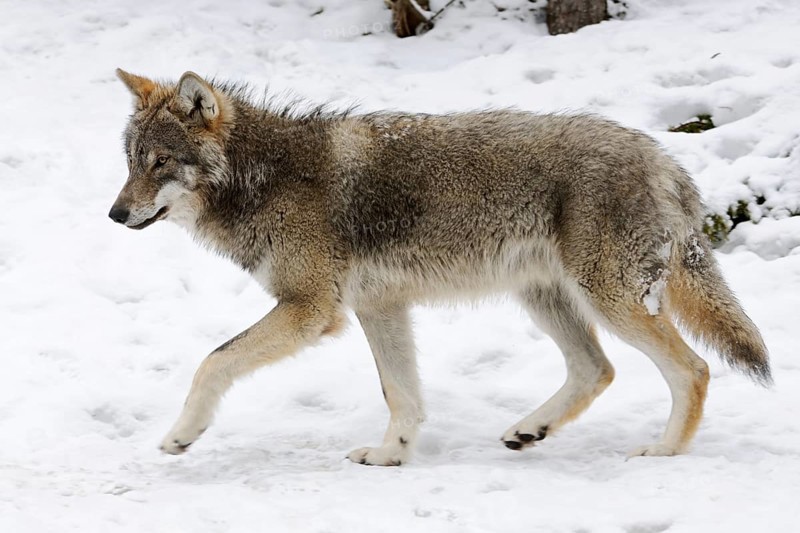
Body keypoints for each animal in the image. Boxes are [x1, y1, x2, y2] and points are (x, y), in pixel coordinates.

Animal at [109, 69, 771, 466]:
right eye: (131, 161)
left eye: (162, 162)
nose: (115, 214)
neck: (265, 177)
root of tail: (666, 160)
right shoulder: (380, 307)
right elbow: (401, 395)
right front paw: (391, 457)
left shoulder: (311, 310)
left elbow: (211, 363)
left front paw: (182, 434)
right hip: (546, 298)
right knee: (597, 370)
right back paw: (529, 431)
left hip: (609, 300)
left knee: (694, 369)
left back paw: (664, 453)